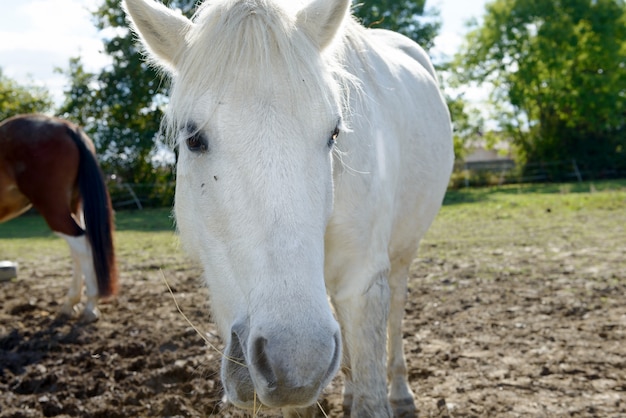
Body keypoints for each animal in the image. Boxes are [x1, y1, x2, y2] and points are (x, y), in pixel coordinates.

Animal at [0, 112, 117, 322]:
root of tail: (67, 127)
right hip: (73, 206)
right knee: (78, 250)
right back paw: (71, 304)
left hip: (55, 211)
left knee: (82, 246)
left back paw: (90, 305)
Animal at [123, 0, 454, 414]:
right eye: (193, 138)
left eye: (334, 133)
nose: (299, 361)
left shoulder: (362, 279)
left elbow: (371, 389)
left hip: (403, 250)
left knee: (395, 309)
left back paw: (401, 393)